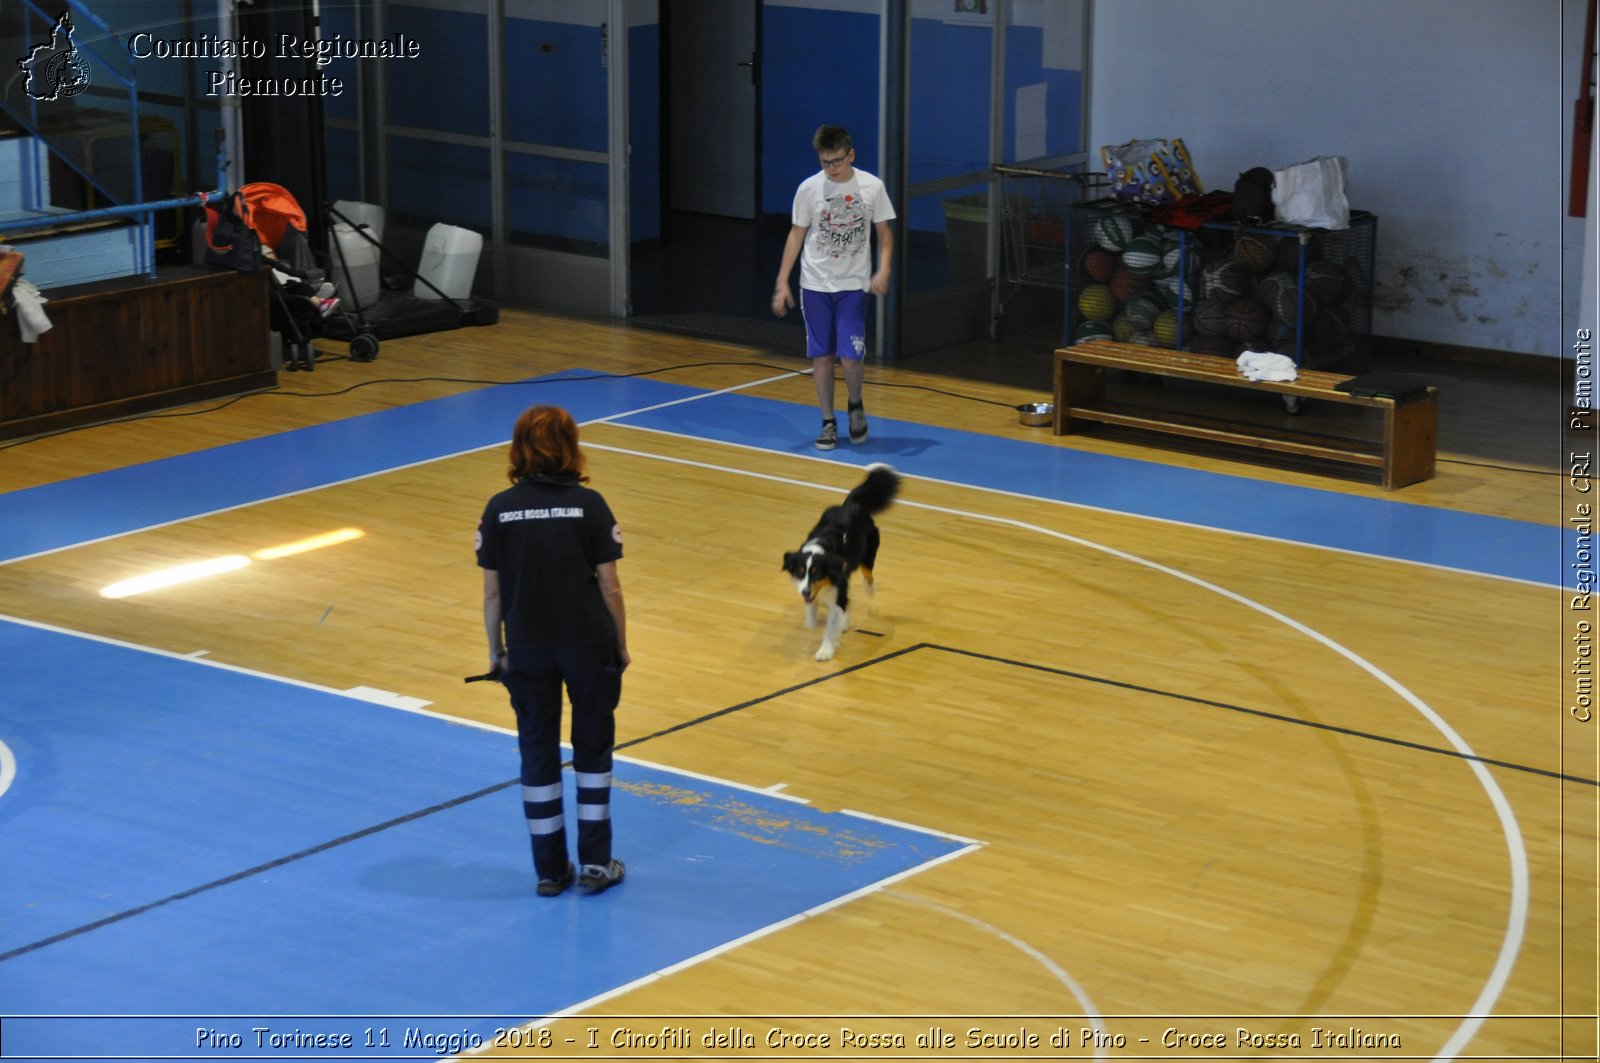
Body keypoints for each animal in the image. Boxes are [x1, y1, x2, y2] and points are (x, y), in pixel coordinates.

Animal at [784, 467, 902, 665]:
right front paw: (814, 619)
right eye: (800, 573)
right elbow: (813, 615)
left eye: (817, 574)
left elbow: (832, 625)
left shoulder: (837, 588)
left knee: (868, 574)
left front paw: (825, 651)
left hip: (867, 554)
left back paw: (869, 590)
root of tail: (851, 503)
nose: (805, 592)